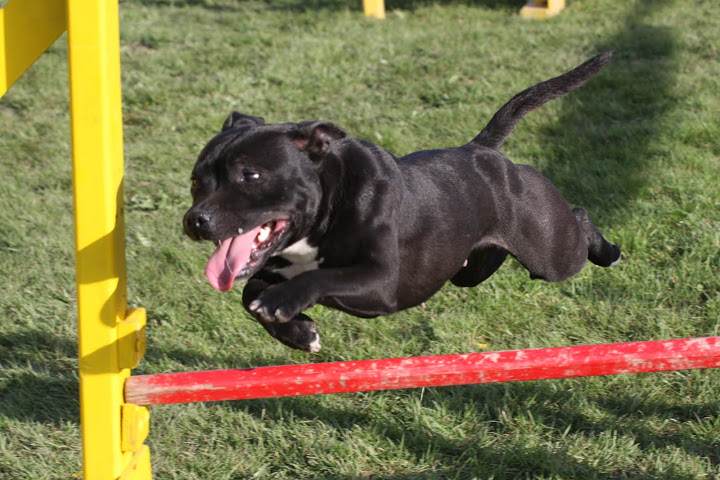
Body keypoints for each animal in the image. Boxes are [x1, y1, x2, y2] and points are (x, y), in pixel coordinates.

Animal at [184, 52, 620, 352]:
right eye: (195, 181)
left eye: (250, 176)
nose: (195, 220)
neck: (328, 207)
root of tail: (482, 151)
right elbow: (249, 294)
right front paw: (299, 333)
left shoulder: (381, 281)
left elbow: (319, 277)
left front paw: (285, 305)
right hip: (465, 268)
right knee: (489, 258)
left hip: (552, 251)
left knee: (578, 219)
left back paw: (609, 252)